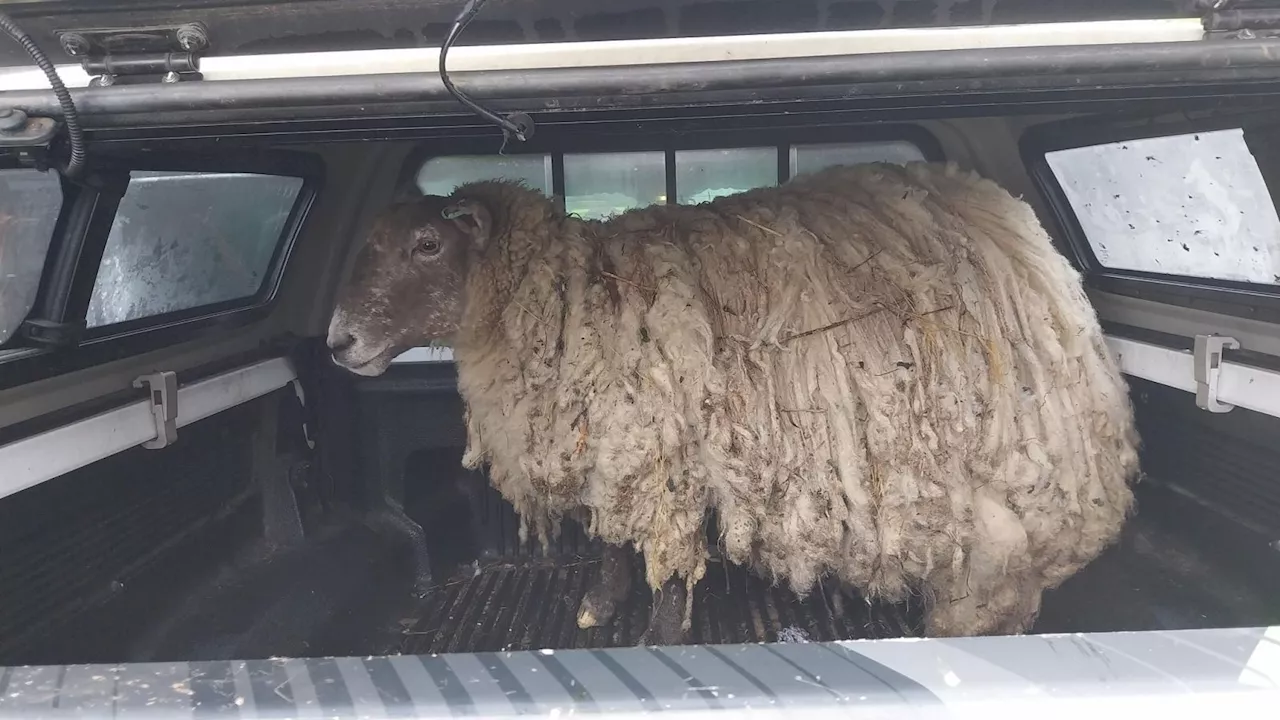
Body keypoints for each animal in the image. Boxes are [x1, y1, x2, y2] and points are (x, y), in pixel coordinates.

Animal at [327, 162, 1141, 638]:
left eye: (428, 245)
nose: (338, 341)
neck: (563, 298)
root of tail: (1028, 236)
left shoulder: (661, 457)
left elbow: (660, 563)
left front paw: (658, 636)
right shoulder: (609, 446)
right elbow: (607, 542)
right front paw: (597, 608)